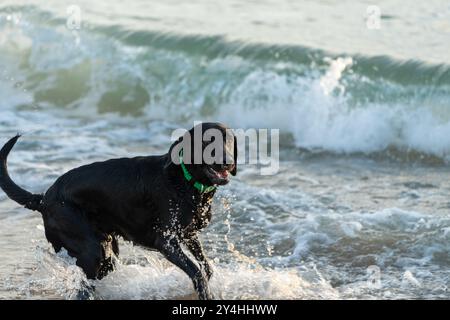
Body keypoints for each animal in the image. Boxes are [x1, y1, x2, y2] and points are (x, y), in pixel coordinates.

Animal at [0, 122, 237, 300]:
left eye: (229, 140)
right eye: (206, 140)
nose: (228, 162)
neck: (186, 182)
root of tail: (43, 197)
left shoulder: (188, 234)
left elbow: (206, 267)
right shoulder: (167, 242)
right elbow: (197, 272)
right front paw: (205, 293)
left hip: (107, 250)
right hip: (91, 250)